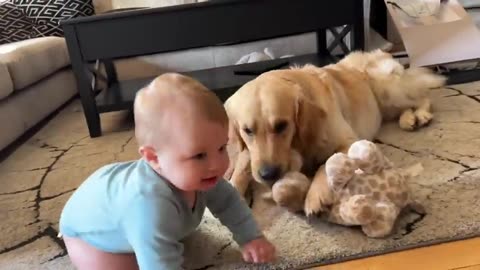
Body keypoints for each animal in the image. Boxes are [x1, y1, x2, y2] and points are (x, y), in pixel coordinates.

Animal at [225, 49, 446, 216]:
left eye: (281, 125)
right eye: (248, 130)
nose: (268, 174)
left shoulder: (348, 141)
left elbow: (328, 161)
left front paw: (314, 196)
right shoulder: (248, 153)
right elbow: (240, 168)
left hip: (388, 90)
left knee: (423, 97)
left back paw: (421, 115)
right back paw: (408, 119)